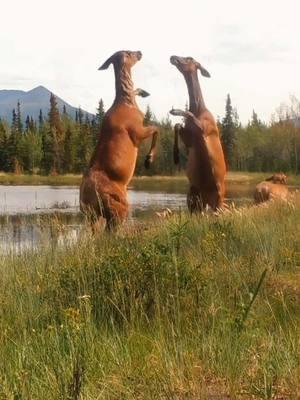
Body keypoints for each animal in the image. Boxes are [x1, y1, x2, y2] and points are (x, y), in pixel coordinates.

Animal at [79, 50, 159, 231]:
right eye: (129, 52)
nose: (140, 52)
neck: (127, 102)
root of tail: (88, 197)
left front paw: (143, 92)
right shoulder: (137, 132)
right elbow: (157, 128)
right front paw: (148, 159)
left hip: (93, 215)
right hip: (118, 207)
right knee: (111, 232)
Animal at [170, 56, 226, 214]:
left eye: (189, 58)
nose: (173, 57)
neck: (198, 108)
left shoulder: (205, 129)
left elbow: (187, 115)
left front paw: (175, 111)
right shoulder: (190, 140)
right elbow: (177, 126)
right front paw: (175, 156)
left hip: (219, 197)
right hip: (193, 196)